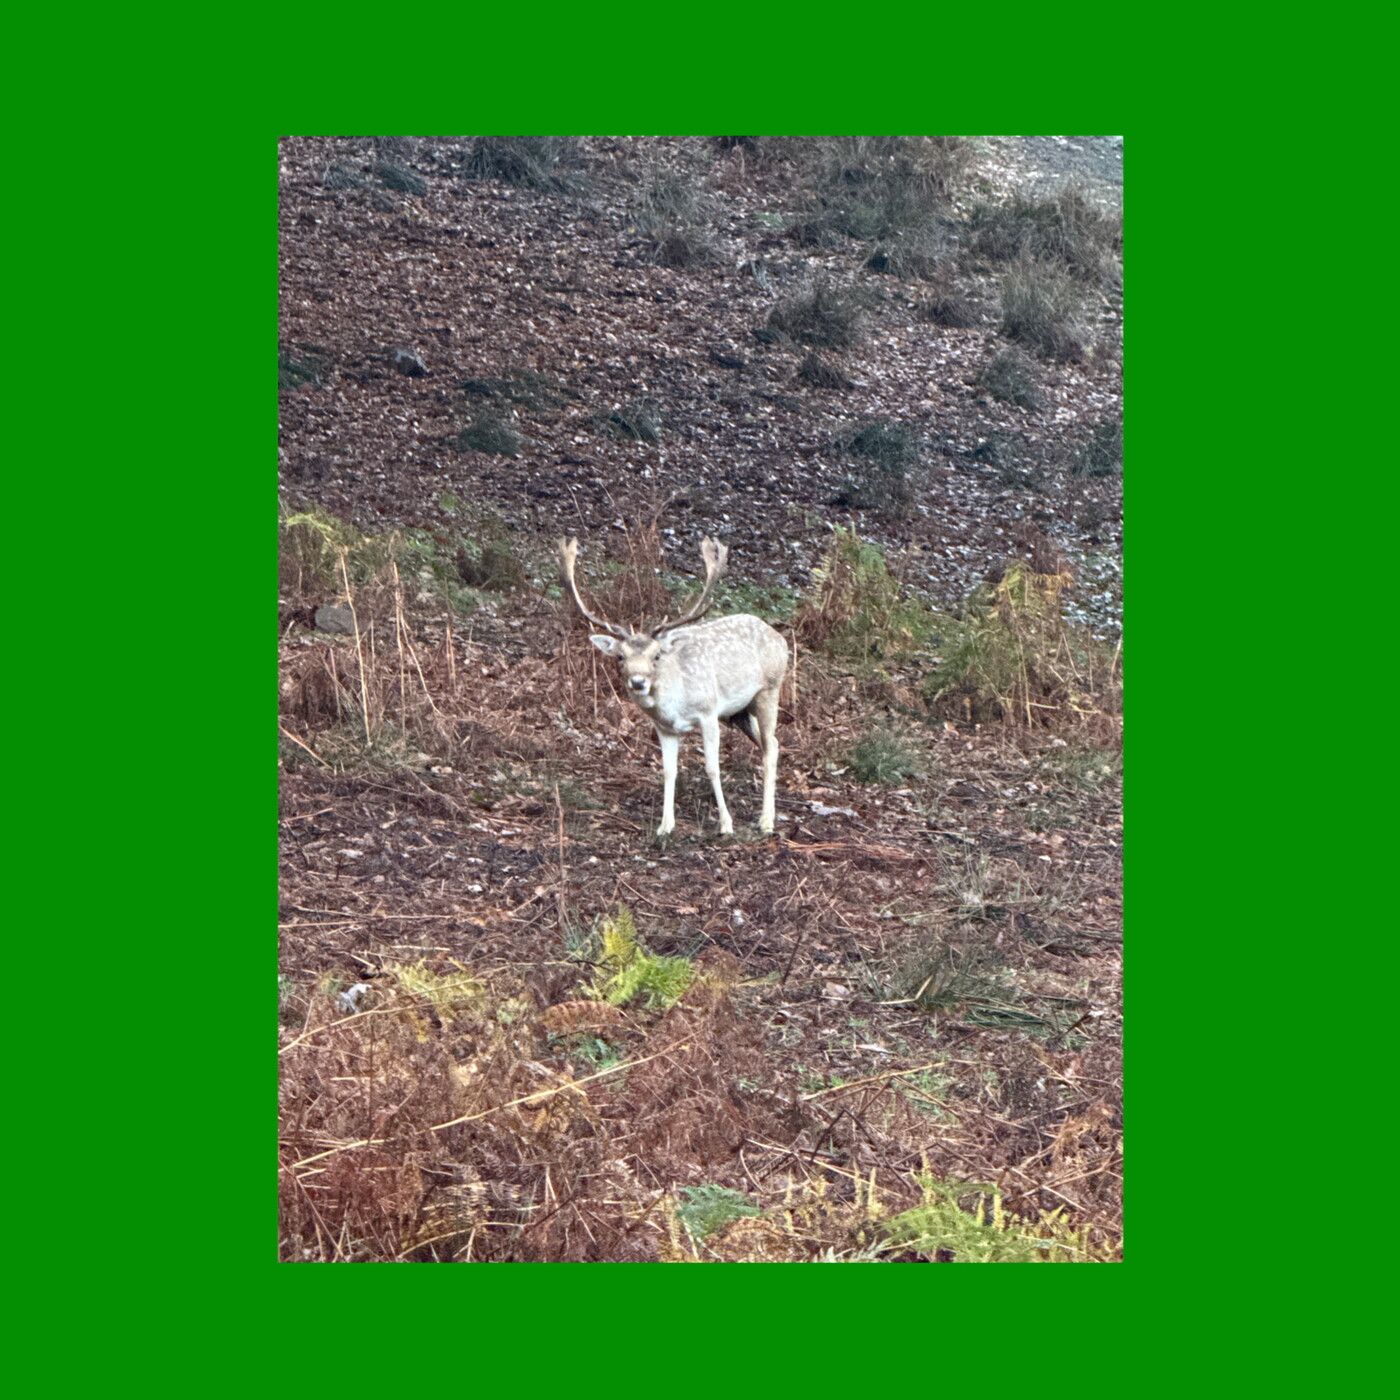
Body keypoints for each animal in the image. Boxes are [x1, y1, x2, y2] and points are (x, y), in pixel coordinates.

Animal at [558, 534, 789, 839]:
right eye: (620, 656)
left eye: (656, 655)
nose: (638, 682)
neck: (674, 705)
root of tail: (780, 638)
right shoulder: (664, 728)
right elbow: (669, 771)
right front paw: (665, 826)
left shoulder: (708, 712)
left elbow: (712, 768)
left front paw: (726, 825)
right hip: (738, 713)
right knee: (768, 743)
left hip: (770, 689)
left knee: (771, 744)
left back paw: (766, 821)